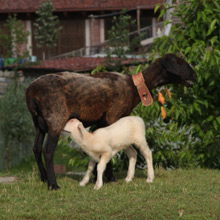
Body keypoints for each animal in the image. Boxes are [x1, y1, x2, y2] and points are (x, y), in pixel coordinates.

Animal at [25, 53, 196, 189]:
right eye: (178, 62)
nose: (195, 74)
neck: (134, 87)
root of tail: (31, 92)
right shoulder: (112, 116)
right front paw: (110, 177)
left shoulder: (100, 121)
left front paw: (96, 176)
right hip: (55, 119)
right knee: (48, 151)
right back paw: (53, 184)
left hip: (38, 123)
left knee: (36, 148)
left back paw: (43, 178)